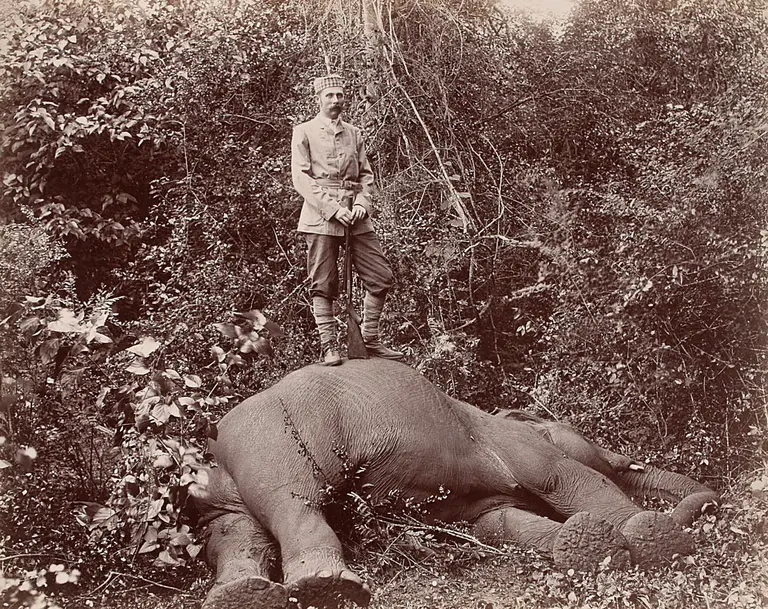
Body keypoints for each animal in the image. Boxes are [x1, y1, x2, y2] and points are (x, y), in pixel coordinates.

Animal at [189, 359, 719, 609]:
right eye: (583, 434)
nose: (712, 506)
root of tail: (211, 443)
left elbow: (500, 523)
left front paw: (586, 546)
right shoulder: (518, 443)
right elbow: (563, 476)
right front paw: (655, 539)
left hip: (225, 485)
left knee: (234, 532)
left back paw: (245, 596)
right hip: (272, 437)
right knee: (293, 500)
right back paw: (328, 589)